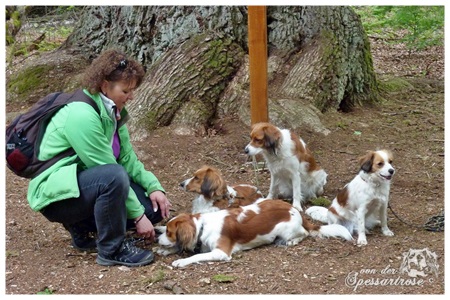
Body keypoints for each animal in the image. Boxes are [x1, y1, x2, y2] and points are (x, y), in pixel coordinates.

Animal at [156, 199, 354, 268]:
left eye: (169, 232)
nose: (157, 238)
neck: (203, 226)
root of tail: (294, 210)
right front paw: (165, 250)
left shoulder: (221, 252)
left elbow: (196, 256)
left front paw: (180, 261)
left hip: (286, 229)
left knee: (304, 233)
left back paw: (290, 242)